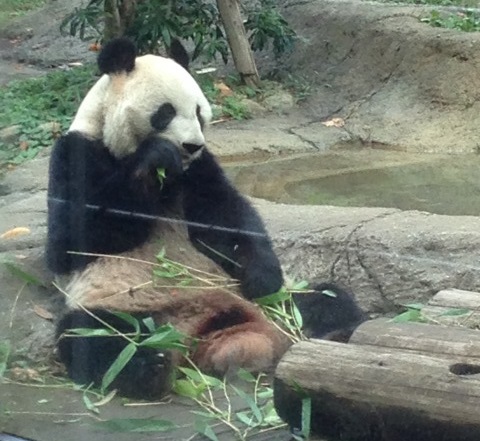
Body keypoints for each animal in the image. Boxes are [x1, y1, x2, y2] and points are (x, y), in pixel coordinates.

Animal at [47, 37, 364, 398]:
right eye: (166, 112)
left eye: (199, 112)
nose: (191, 145)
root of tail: (199, 333)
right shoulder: (77, 153)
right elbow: (71, 241)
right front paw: (155, 160)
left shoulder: (199, 169)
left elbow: (227, 215)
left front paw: (262, 277)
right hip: (128, 307)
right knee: (94, 336)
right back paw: (149, 366)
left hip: (274, 305)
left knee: (324, 299)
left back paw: (341, 338)